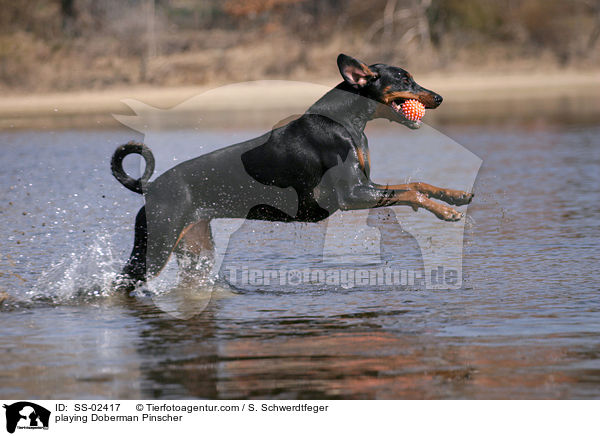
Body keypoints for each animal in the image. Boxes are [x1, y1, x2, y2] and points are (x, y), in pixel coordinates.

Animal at [110, 54, 472, 292]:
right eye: (404, 80)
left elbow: (417, 183)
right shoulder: (351, 194)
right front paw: (446, 212)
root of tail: (150, 188)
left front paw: (454, 196)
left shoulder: (366, 186)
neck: (347, 121)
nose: (439, 97)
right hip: (155, 246)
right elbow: (410, 191)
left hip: (194, 250)